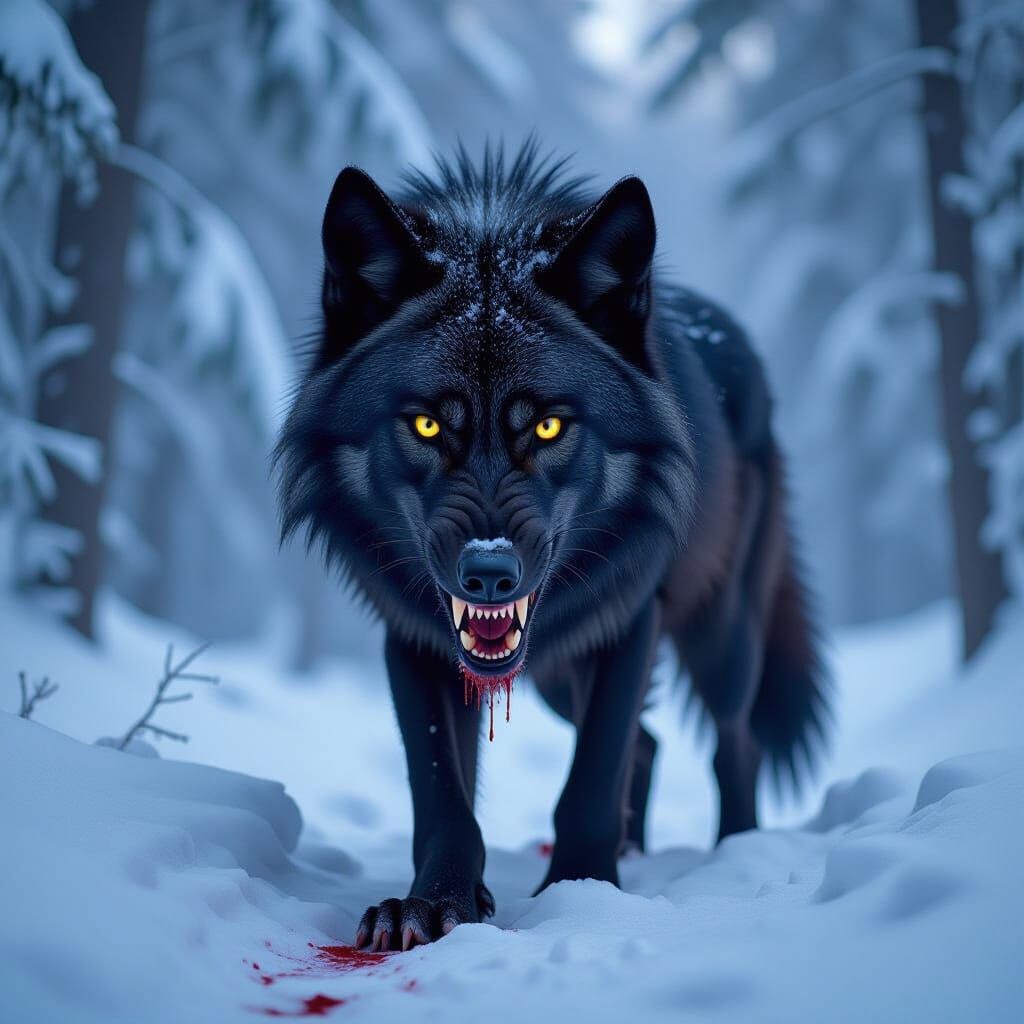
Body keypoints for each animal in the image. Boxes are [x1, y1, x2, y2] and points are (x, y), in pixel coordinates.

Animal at [276, 143, 829, 952]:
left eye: (547, 427)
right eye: (427, 425)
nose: (488, 573)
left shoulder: (631, 620)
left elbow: (590, 780)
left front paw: (584, 893)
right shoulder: (412, 640)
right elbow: (442, 796)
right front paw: (432, 904)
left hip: (717, 635)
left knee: (734, 740)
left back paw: (735, 850)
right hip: (556, 678)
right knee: (650, 743)